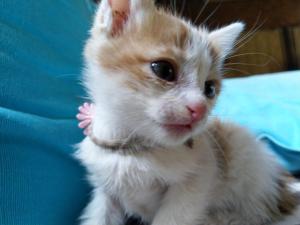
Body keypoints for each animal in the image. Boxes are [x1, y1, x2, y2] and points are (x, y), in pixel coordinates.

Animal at [75, 0, 300, 225]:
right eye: (164, 70)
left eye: (209, 89)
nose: (199, 109)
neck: (137, 151)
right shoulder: (105, 189)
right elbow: (99, 215)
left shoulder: (198, 178)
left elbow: (173, 217)